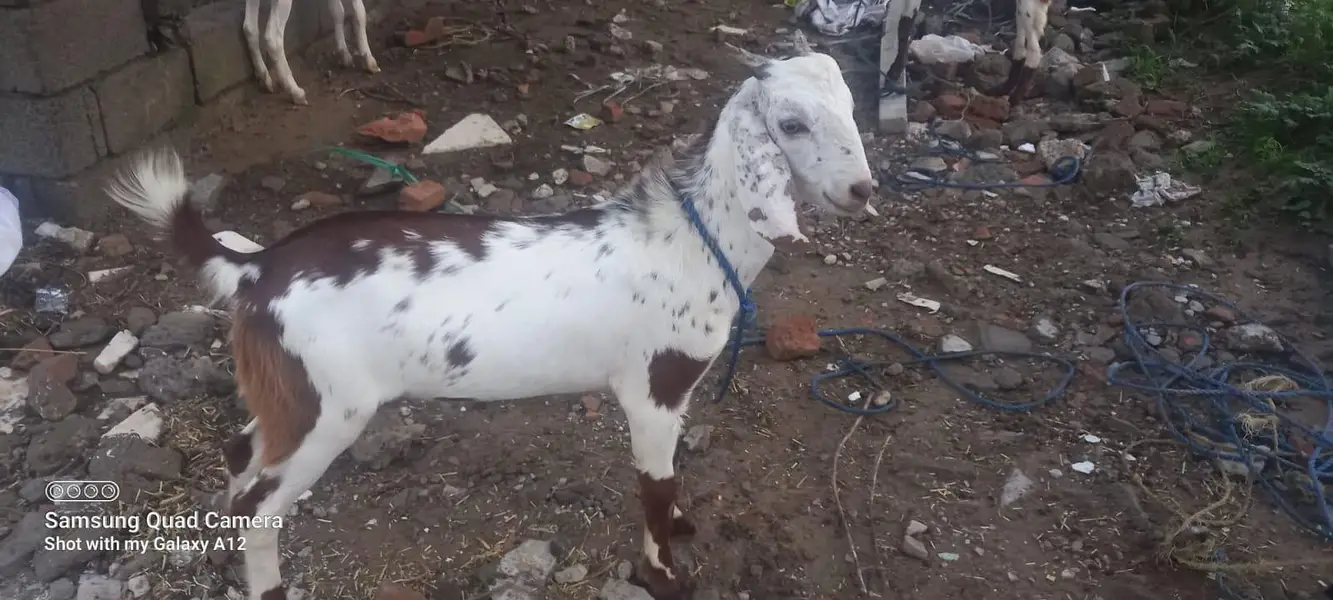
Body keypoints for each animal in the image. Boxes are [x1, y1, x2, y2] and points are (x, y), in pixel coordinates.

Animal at [106, 31, 874, 600]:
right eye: (790, 123)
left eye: (851, 106)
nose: (862, 190)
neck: (693, 236)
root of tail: (257, 267)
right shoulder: (653, 387)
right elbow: (655, 486)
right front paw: (662, 574)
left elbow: (672, 484)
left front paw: (682, 530)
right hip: (329, 407)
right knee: (257, 509)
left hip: (288, 390)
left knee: (242, 453)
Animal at [244, 0, 380, 105]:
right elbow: (360, 12)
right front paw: (369, 61)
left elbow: (337, 11)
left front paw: (344, 54)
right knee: (272, 38)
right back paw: (295, 92)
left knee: (249, 28)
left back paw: (264, 78)